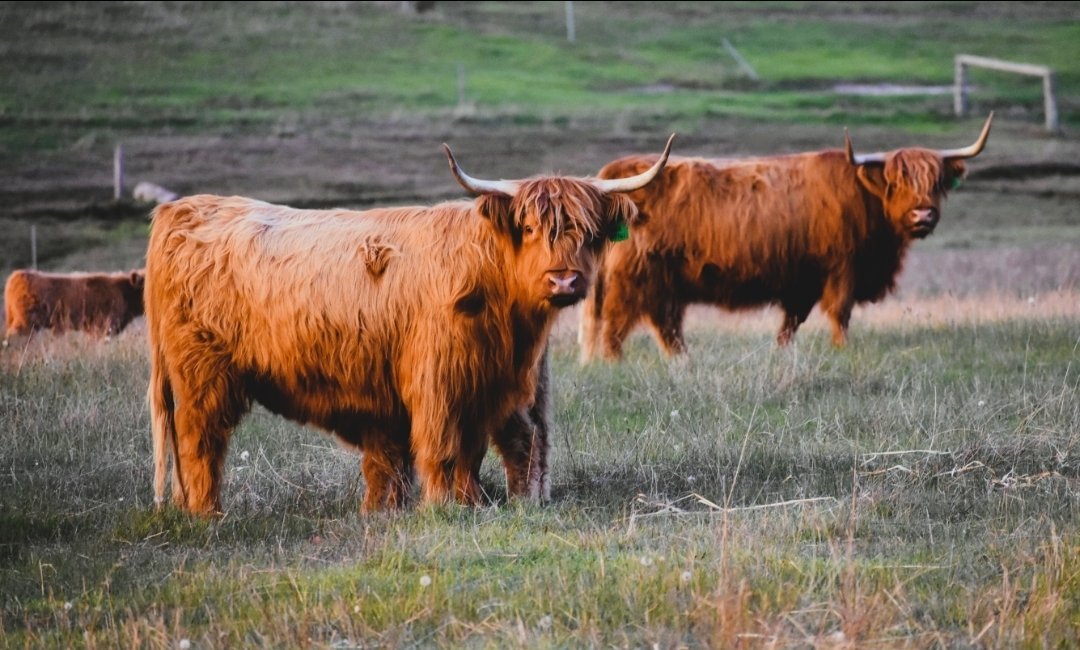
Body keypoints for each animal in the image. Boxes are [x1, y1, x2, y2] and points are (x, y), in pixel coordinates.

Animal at [146, 136, 673, 516]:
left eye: (587, 231)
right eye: (528, 229)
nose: (564, 279)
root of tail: (184, 209)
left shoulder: (494, 385)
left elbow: (485, 448)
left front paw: (468, 504)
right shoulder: (437, 380)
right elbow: (442, 447)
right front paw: (442, 510)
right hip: (201, 378)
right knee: (199, 443)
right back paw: (207, 515)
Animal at [578, 115, 992, 362]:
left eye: (936, 182)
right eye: (896, 183)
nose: (923, 215)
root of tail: (612, 175)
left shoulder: (802, 281)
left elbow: (791, 323)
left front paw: (782, 353)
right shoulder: (842, 267)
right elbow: (840, 313)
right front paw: (842, 351)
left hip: (662, 283)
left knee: (664, 327)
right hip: (633, 280)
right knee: (617, 327)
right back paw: (614, 365)